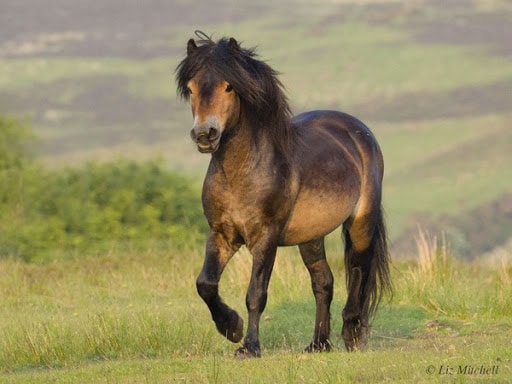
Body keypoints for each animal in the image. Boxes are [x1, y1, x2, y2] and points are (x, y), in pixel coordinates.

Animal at [176, 31, 392, 358]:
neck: (242, 172)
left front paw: (249, 347)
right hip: (311, 236)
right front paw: (231, 327)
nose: (205, 134)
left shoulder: (266, 237)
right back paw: (318, 344)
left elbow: (256, 293)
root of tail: (357, 131)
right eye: (190, 89)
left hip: (361, 222)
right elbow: (206, 284)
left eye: (229, 86)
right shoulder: (222, 234)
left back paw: (352, 334)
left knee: (359, 269)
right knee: (323, 282)